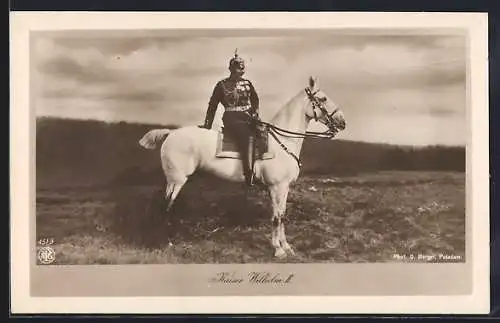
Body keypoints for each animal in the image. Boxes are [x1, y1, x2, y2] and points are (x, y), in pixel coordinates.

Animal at [139, 76, 346, 258]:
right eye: (323, 98)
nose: (342, 122)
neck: (282, 142)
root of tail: (170, 133)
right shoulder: (277, 187)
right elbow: (276, 217)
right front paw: (278, 250)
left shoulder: (283, 188)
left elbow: (282, 215)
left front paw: (286, 246)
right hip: (177, 180)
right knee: (166, 206)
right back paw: (164, 242)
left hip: (172, 181)